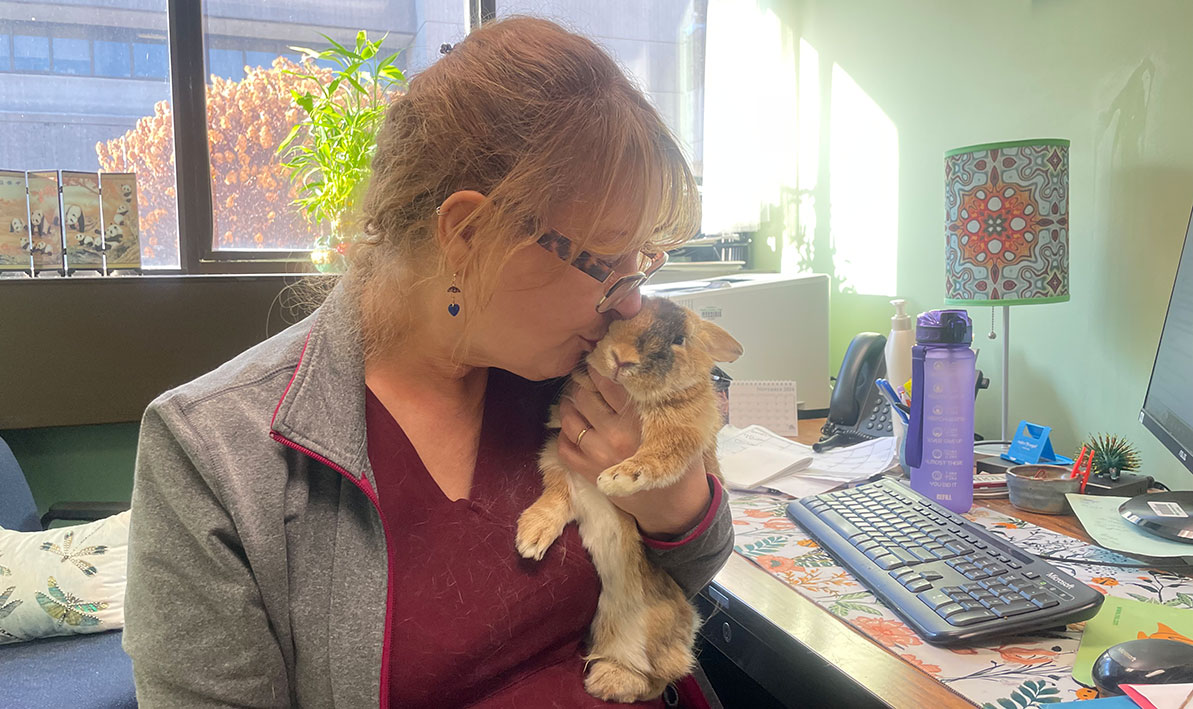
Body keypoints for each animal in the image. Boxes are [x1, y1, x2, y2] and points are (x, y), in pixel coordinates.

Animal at [515, 294, 739, 697]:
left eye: (679, 339)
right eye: (623, 317)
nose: (622, 359)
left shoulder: (683, 432)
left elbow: (658, 457)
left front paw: (617, 478)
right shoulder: (558, 452)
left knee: (657, 677)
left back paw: (605, 683)